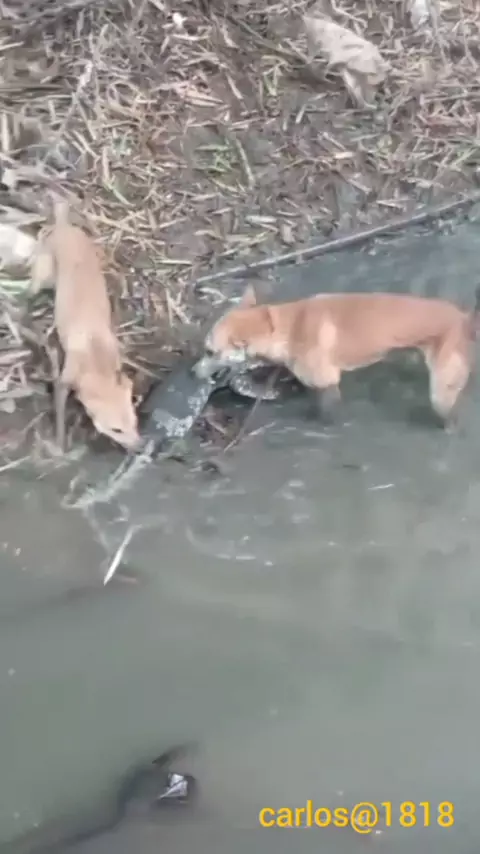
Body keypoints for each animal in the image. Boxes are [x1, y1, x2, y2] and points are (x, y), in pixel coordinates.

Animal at [30, 201, 140, 451]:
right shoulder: (64, 380)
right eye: (116, 430)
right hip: (43, 274)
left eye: (134, 421)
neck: (96, 357)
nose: (139, 446)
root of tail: (63, 227)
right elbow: (60, 408)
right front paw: (59, 443)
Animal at [193, 285, 480, 425]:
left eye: (210, 351)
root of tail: (463, 317)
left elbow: (326, 410)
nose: (193, 372)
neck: (284, 326)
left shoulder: (327, 382)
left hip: (440, 394)